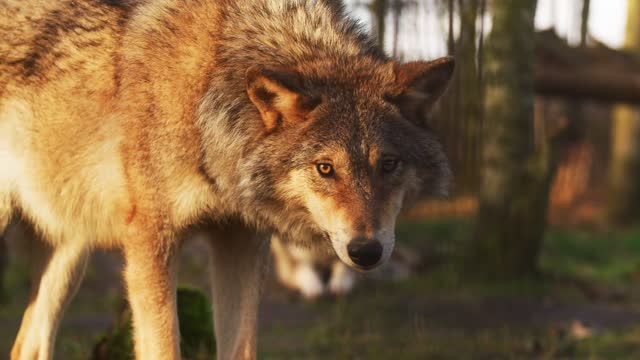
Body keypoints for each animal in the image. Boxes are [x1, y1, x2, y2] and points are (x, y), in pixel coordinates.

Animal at [0, 0, 452, 358]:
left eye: (388, 164)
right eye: (325, 168)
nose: (366, 251)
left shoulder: (241, 241)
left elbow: (241, 347)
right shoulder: (151, 242)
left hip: (71, 252)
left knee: (27, 346)